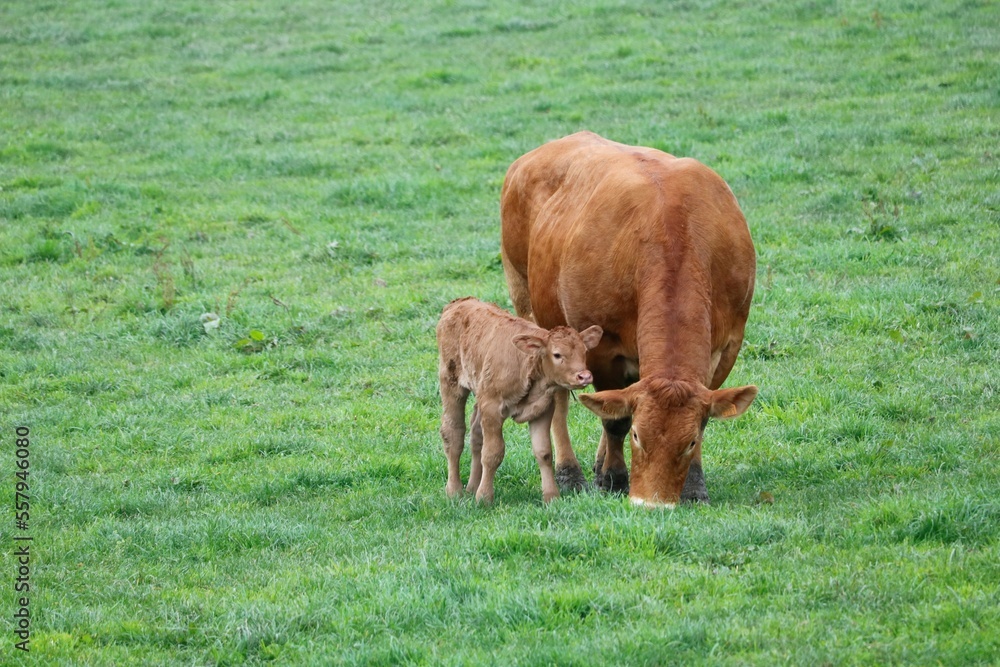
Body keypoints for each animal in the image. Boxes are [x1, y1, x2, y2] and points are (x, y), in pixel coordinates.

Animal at [437, 297, 603, 504]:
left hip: (480, 392)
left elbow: (544, 452)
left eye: (584, 351)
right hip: (451, 384)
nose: (584, 376)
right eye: (557, 354)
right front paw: (484, 498)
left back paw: (472, 487)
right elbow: (492, 453)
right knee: (453, 433)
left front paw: (551, 496)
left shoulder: (542, 410)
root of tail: (458, 303)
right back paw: (454, 490)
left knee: (476, 434)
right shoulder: (492, 408)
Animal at [500, 131, 758, 508]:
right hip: (529, 302)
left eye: (689, 442)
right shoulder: (600, 346)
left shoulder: (727, 344)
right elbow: (614, 420)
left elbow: (700, 416)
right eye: (637, 435)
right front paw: (615, 478)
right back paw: (570, 472)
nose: (652, 503)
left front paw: (695, 486)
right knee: (557, 400)